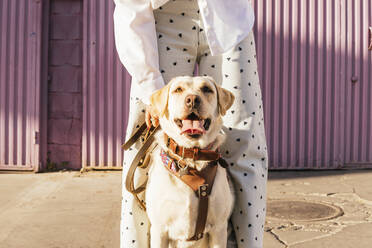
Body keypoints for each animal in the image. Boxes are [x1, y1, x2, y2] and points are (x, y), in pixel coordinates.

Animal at [146, 76, 235, 248]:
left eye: (207, 89)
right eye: (178, 89)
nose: (192, 99)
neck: (192, 155)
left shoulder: (219, 228)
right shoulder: (159, 229)